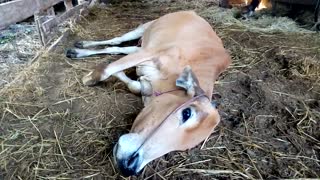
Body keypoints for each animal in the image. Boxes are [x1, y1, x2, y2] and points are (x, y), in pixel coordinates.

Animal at [65, 10, 230, 176]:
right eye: (187, 113)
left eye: (184, 147)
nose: (129, 167)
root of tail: (193, 13)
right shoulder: (149, 53)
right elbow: (107, 70)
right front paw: (89, 78)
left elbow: (132, 84)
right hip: (143, 29)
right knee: (116, 41)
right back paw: (80, 47)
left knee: (117, 48)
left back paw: (78, 51)